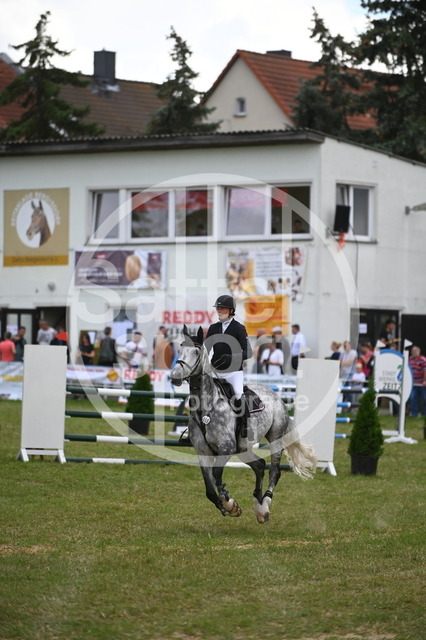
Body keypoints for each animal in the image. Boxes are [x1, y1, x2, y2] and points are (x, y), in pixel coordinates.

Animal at [170, 325, 317, 524]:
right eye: (179, 350)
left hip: (275, 437)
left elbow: (217, 474)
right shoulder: (203, 453)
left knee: (274, 471)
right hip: (243, 449)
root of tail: (276, 396)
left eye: (196, 352)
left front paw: (230, 503)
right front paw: (226, 507)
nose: (175, 376)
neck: (206, 407)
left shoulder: (227, 447)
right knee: (260, 465)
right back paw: (258, 502)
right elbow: (209, 489)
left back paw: (265, 506)